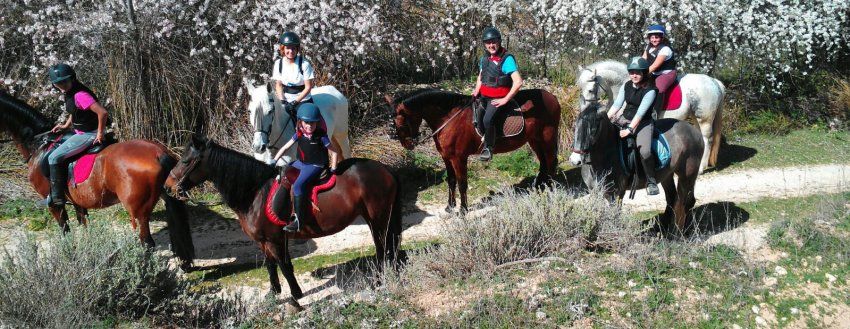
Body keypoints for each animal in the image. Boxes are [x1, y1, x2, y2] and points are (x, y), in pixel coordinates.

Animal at [0, 89, 194, 264]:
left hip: (139, 211)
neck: (39, 145)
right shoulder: (78, 202)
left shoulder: (55, 205)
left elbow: (65, 230)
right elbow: (83, 227)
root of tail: (157, 152)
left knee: (147, 243)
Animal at [167, 135, 402, 308]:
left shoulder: (275, 239)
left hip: (378, 217)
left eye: (185, 161)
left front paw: (296, 295)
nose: (168, 186)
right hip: (375, 218)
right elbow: (271, 265)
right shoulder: (264, 241)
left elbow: (284, 265)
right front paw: (273, 293)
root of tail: (385, 169)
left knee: (382, 247)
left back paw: (378, 280)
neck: (255, 194)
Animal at [386, 88, 560, 210]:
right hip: (535, 139)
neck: (449, 118)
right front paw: (450, 206)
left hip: (548, 137)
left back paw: (551, 191)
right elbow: (451, 180)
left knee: (551, 162)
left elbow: (462, 183)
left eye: (402, 124)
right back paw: (539, 188)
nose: (407, 145)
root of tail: (551, 96)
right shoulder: (446, 157)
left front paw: (463, 209)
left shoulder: (459, 158)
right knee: (543, 162)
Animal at [564, 95, 704, 233]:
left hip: (687, 175)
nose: (575, 160)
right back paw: (664, 227)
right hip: (667, 175)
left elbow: (614, 216)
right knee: (672, 197)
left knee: (685, 201)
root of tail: (694, 131)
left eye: (593, 129)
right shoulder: (594, 192)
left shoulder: (616, 193)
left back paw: (679, 232)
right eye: (576, 125)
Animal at [576, 59, 724, 173]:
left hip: (704, 119)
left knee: (707, 139)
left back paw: (701, 168)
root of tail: (714, 82)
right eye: (580, 89)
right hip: (695, 117)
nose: (584, 109)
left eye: (591, 90)